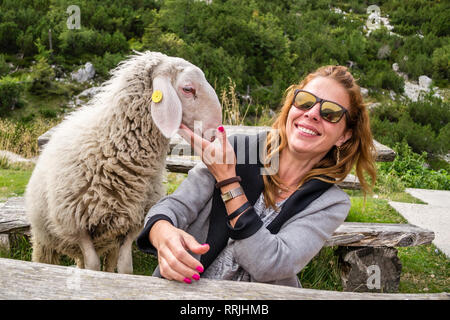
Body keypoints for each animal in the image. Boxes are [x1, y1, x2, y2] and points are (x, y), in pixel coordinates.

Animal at [24, 51, 221, 274]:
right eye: (188, 89)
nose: (215, 130)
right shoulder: (76, 225)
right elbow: (93, 267)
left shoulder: (131, 225)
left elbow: (125, 269)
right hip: (45, 239)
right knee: (48, 257)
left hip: (110, 239)